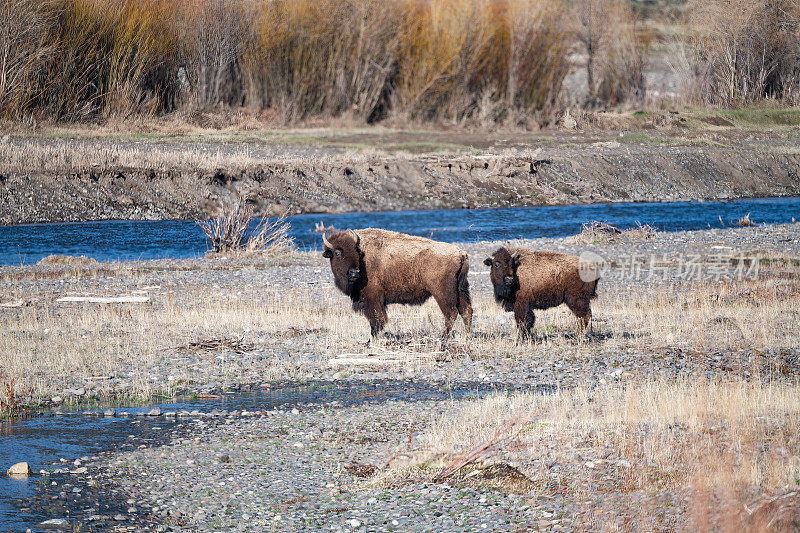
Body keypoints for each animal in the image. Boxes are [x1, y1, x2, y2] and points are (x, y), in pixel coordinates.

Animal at [320, 228, 472, 336]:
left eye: (357, 252)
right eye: (337, 253)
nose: (354, 272)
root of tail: (461, 253)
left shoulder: (373, 298)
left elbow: (377, 320)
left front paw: (371, 341)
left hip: (442, 292)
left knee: (451, 313)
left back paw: (443, 339)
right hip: (460, 289)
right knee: (466, 311)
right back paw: (467, 337)